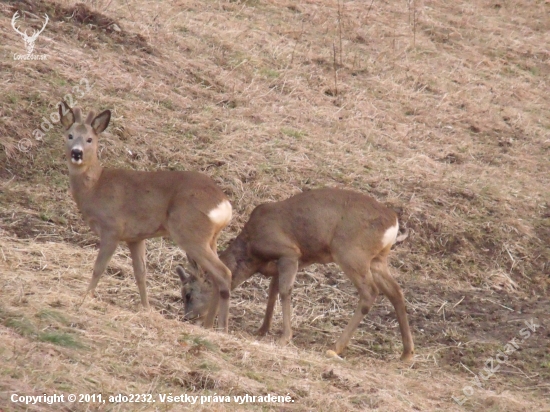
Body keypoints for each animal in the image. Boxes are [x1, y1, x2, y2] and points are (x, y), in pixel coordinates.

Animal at [59, 103, 233, 332]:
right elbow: (141, 273)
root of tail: (224, 204)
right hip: (210, 238)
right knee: (213, 277)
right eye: (69, 135)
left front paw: (86, 297)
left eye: (89, 139)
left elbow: (99, 267)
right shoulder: (135, 237)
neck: (95, 186)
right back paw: (208, 324)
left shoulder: (112, 228)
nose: (76, 153)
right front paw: (146, 308)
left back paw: (222, 327)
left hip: (190, 232)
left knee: (224, 273)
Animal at [179, 187, 416, 360]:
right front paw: (262, 330)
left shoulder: (289, 252)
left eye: (188, 293)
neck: (252, 249)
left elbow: (284, 291)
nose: (186, 317)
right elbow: (273, 291)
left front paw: (284, 337)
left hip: (351, 253)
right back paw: (406, 354)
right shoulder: (284, 262)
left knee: (370, 292)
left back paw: (335, 347)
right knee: (396, 292)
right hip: (377, 259)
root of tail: (393, 223)